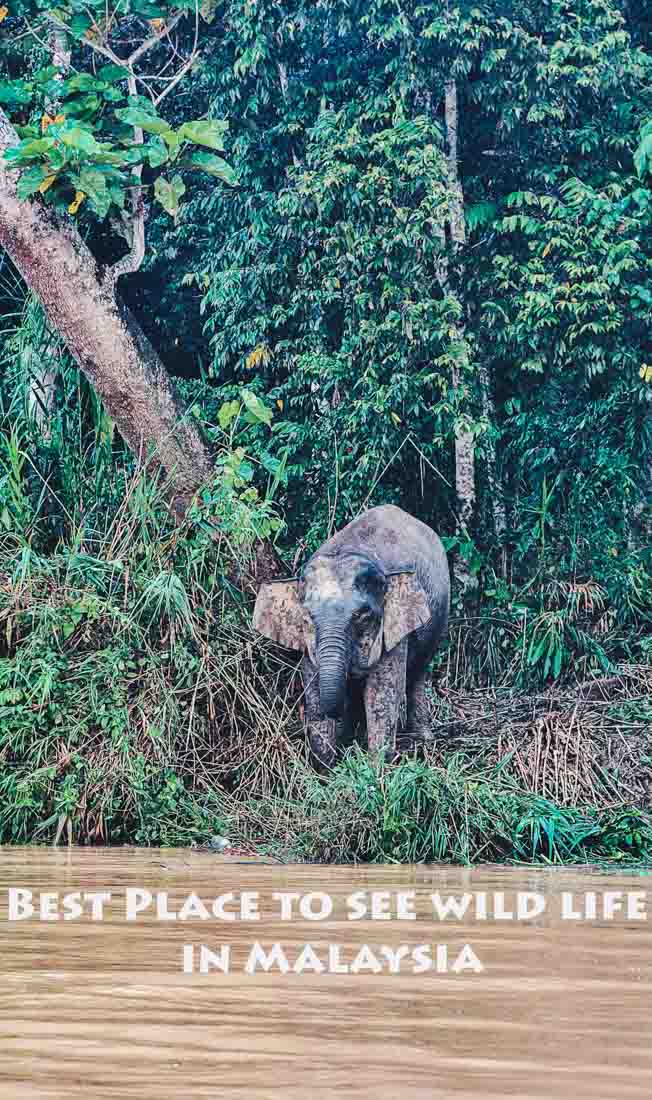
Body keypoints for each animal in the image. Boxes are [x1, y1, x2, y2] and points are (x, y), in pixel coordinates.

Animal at [251, 503, 450, 765]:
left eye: (362, 614)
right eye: (308, 616)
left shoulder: (395, 628)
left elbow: (381, 693)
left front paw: (377, 767)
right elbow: (314, 691)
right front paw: (325, 767)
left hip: (439, 619)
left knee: (418, 673)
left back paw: (422, 741)